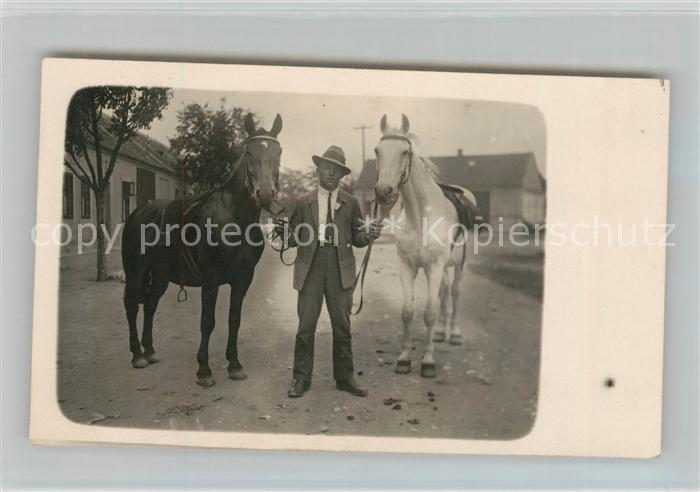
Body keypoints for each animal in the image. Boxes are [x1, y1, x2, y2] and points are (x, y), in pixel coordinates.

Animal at [121, 113, 283, 388]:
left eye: (278, 152)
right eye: (249, 152)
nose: (264, 194)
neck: (235, 217)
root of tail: (138, 213)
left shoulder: (243, 279)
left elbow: (234, 319)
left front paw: (234, 365)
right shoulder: (211, 279)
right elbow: (208, 322)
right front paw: (204, 370)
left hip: (161, 276)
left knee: (150, 305)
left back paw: (150, 351)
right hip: (135, 271)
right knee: (133, 305)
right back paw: (137, 355)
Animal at [373, 114, 481, 378]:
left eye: (404, 152)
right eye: (377, 151)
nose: (384, 192)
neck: (421, 215)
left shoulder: (434, 266)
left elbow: (429, 313)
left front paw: (428, 361)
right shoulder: (407, 266)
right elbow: (407, 312)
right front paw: (403, 359)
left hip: (458, 266)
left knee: (454, 293)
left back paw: (454, 334)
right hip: (442, 269)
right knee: (444, 294)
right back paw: (441, 333)